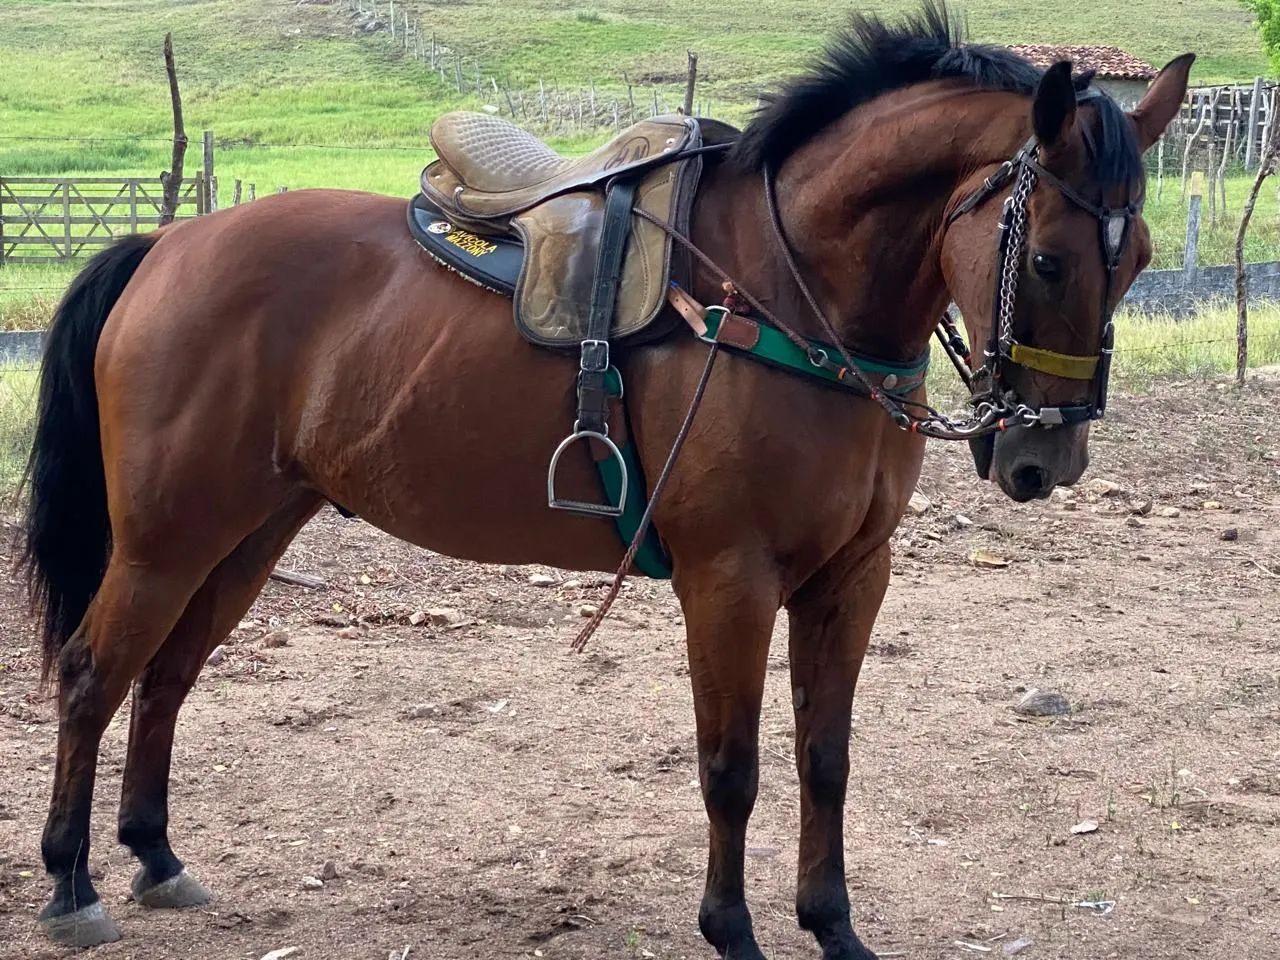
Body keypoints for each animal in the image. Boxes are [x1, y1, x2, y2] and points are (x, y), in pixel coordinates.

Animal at [20, 5, 1190, 956]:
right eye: (1045, 259)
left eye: (1137, 261)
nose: (1043, 458)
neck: (779, 291)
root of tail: (170, 244)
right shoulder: (730, 580)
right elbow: (731, 767)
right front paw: (733, 932)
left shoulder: (852, 578)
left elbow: (825, 757)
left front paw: (833, 928)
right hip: (169, 537)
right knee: (91, 675)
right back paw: (74, 885)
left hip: (250, 532)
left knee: (166, 678)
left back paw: (156, 857)